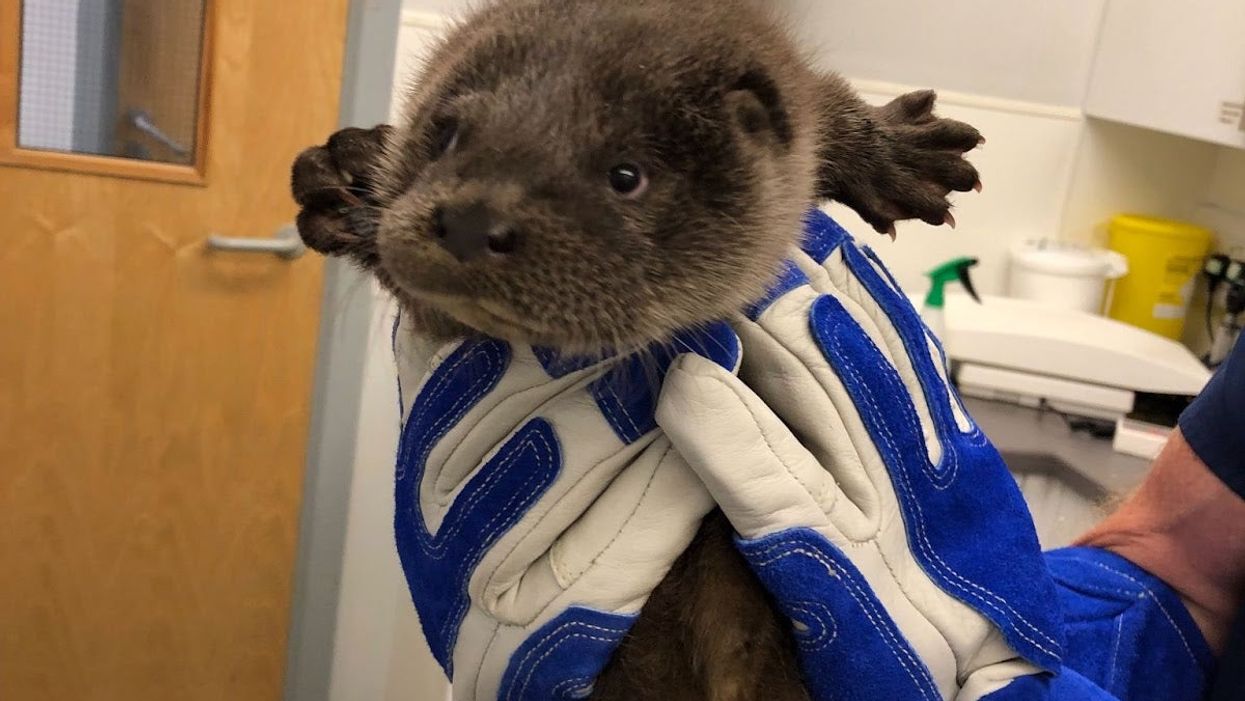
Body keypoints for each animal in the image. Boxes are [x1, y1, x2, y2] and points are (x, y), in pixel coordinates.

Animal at [292, 0, 982, 698]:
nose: (470, 220)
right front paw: (343, 174)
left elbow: (822, 107)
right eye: (449, 133)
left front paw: (901, 152)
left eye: (626, 174)